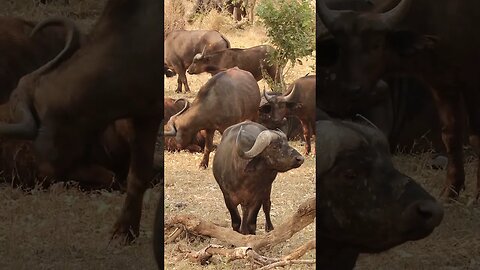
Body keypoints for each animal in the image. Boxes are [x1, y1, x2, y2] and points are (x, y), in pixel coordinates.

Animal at [316, 0, 480, 198]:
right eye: (342, 47)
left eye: (377, 44)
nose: (351, 89)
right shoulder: (442, 85)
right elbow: (451, 136)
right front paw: (449, 192)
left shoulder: (472, 83)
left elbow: (476, 138)